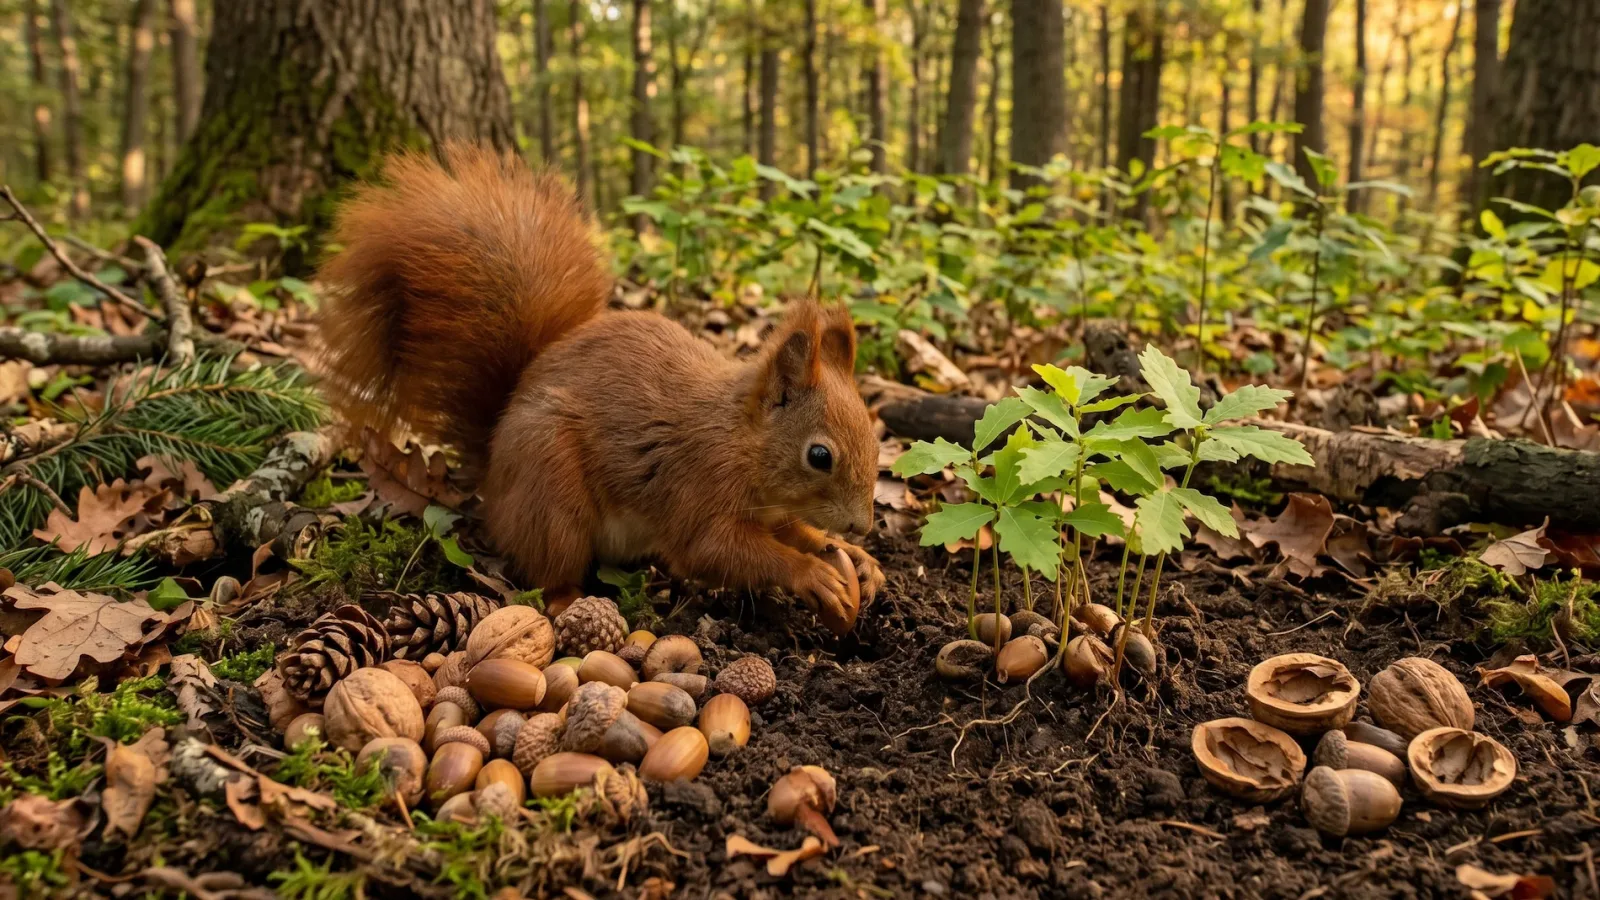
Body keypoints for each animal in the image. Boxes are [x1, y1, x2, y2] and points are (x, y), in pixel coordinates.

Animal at [317, 145, 885, 630]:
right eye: (819, 456)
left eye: (878, 441)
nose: (862, 525)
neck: (741, 440)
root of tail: (494, 475)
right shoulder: (697, 485)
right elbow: (714, 550)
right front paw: (810, 573)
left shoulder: (770, 507)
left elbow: (792, 533)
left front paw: (854, 558)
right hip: (552, 491)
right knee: (550, 569)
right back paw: (569, 600)